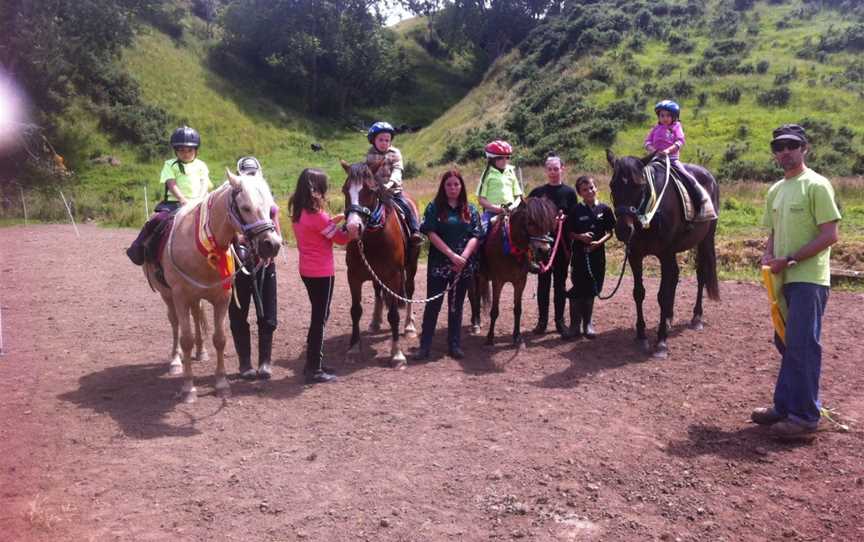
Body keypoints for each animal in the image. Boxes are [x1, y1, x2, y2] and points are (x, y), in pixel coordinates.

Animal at [143, 171, 282, 404]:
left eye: (270, 207)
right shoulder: (180, 297)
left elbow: (220, 339)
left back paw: (201, 352)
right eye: (245, 207)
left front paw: (222, 384)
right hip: (168, 296)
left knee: (197, 316)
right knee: (175, 324)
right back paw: (175, 361)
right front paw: (189, 388)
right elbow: (186, 339)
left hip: (195, 298)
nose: (272, 244)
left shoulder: (222, 298)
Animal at [340, 159, 420, 368]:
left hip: (411, 266)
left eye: (370, 190)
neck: (373, 238)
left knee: (410, 290)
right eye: (345, 190)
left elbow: (393, 315)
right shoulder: (353, 276)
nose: (353, 227)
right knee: (378, 292)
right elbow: (355, 311)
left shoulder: (394, 277)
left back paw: (409, 326)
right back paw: (375, 322)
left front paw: (397, 354)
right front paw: (353, 348)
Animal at [470, 199, 556, 348]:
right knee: (473, 297)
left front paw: (517, 337)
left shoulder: (520, 282)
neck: (511, 247)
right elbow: (494, 311)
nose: (545, 251)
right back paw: (475, 324)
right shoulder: (498, 282)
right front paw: (490, 338)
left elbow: (518, 309)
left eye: (547, 223)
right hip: (474, 276)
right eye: (530, 222)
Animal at [608, 151, 724, 360]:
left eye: (639, 186)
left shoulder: (665, 254)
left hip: (705, 240)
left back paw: (696, 317)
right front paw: (641, 336)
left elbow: (662, 295)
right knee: (675, 277)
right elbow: (639, 293)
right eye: (613, 185)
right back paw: (669, 318)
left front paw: (661, 342)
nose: (623, 230)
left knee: (701, 274)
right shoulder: (635, 256)